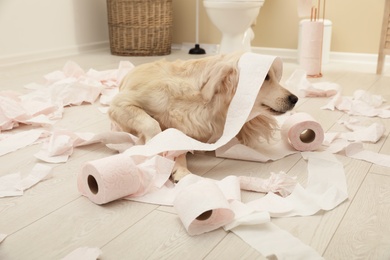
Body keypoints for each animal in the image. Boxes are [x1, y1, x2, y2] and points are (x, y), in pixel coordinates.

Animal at [108, 52, 298, 182]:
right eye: (265, 77)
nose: (295, 98)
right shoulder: (119, 104)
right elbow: (152, 124)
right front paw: (155, 147)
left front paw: (179, 169)